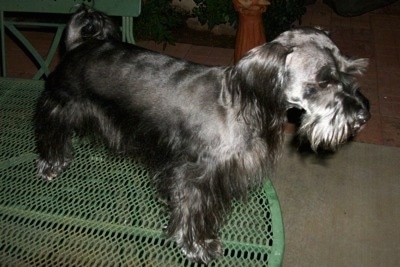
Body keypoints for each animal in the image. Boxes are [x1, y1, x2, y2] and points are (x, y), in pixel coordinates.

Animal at [32, 6, 370, 266]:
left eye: (348, 70)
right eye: (324, 81)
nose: (363, 116)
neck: (242, 102)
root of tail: (78, 45)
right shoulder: (197, 176)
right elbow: (192, 214)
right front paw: (197, 246)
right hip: (59, 106)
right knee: (51, 133)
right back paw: (51, 164)